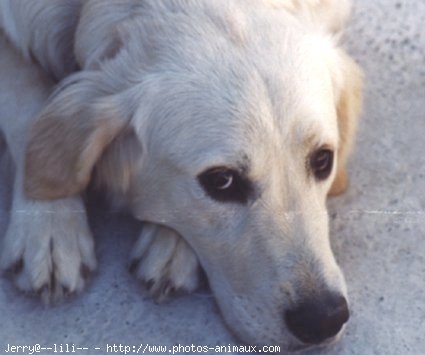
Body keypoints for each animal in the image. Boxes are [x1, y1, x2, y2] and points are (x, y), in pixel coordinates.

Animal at [0, 0, 362, 350]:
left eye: (323, 160)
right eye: (221, 181)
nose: (324, 319)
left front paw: (169, 246)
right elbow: (26, 104)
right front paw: (47, 229)